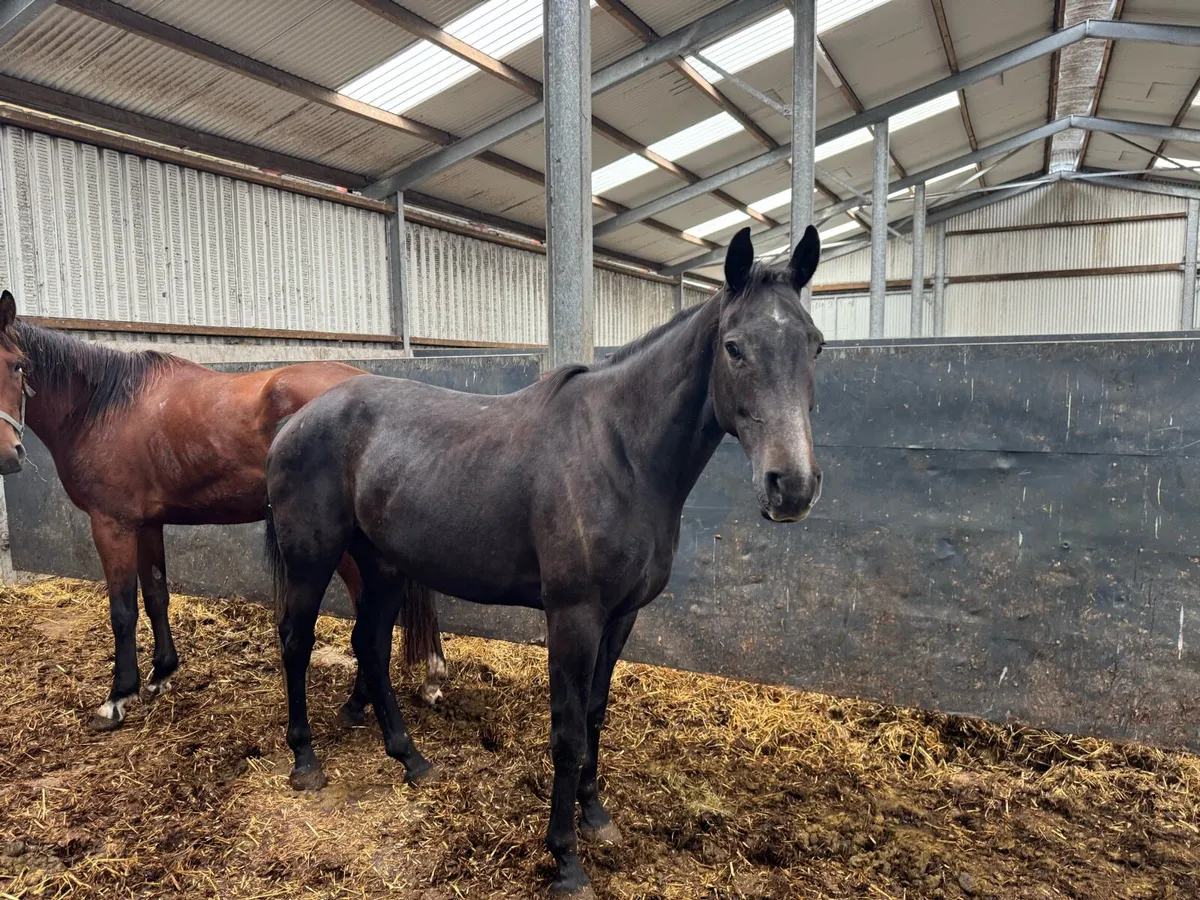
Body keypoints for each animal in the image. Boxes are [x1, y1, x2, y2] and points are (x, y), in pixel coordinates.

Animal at [0, 289, 448, 731]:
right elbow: (156, 595)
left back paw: (358, 703)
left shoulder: (113, 525)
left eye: (18, 365)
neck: (101, 407)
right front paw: (161, 672)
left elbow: (123, 610)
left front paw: (117, 698)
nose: (9, 455)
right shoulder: (146, 525)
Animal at [263, 225, 825, 897]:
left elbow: (596, 716)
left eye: (815, 346)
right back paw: (304, 761)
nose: (791, 488)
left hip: (383, 566)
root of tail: (296, 419)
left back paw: (412, 760)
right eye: (735, 348)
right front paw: (566, 860)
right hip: (312, 558)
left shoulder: (620, 618)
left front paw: (597, 818)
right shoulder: (573, 617)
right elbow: (567, 731)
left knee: (369, 645)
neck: (620, 453)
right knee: (296, 641)